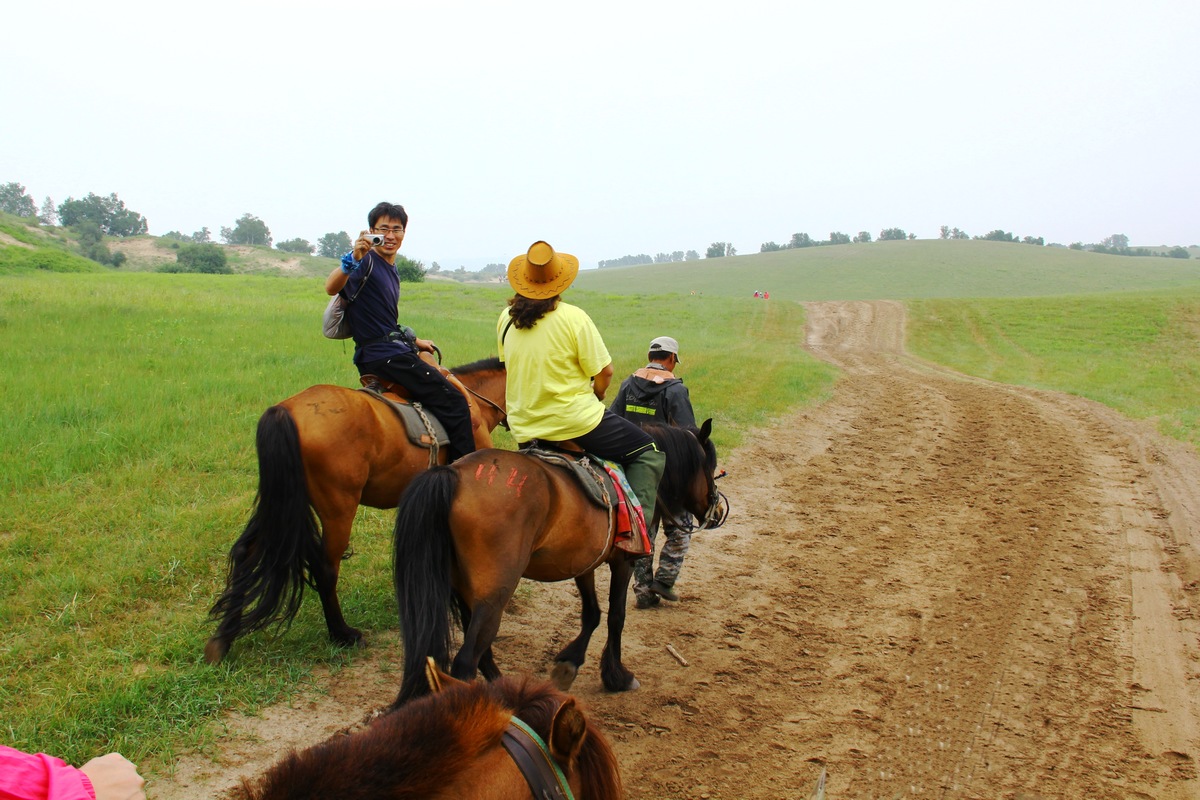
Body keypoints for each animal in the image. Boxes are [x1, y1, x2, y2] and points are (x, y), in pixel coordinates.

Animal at [206, 357, 506, 662]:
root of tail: (285, 411)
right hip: (337, 509)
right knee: (325, 568)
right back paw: (342, 633)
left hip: (283, 503)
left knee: (247, 552)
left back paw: (221, 640)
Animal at [391, 422, 720, 705]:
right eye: (711, 466)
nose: (715, 511)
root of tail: (453, 473)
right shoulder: (622, 562)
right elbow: (616, 616)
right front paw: (617, 676)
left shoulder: (584, 561)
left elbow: (592, 614)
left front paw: (569, 662)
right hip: (494, 595)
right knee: (466, 663)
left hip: (464, 591)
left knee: (478, 656)